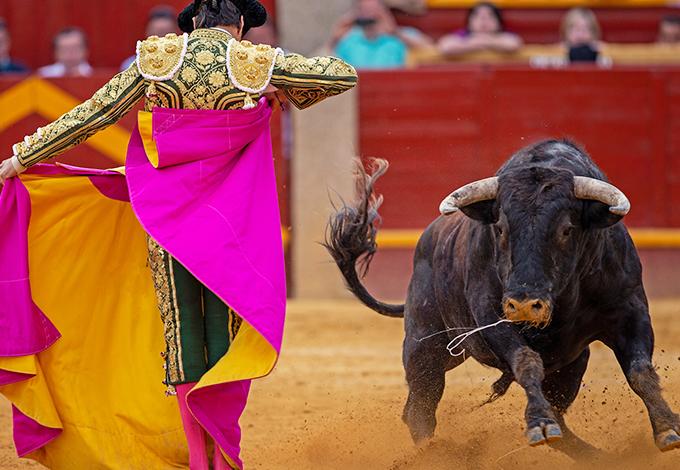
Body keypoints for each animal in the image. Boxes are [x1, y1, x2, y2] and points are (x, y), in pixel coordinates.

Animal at [324, 139, 680, 456]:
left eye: (567, 230)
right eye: (500, 229)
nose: (524, 305)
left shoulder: (630, 310)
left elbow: (640, 371)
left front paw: (668, 428)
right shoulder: (493, 319)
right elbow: (525, 361)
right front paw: (538, 424)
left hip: (571, 363)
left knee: (561, 421)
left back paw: (598, 457)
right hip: (424, 347)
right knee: (419, 407)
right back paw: (435, 453)